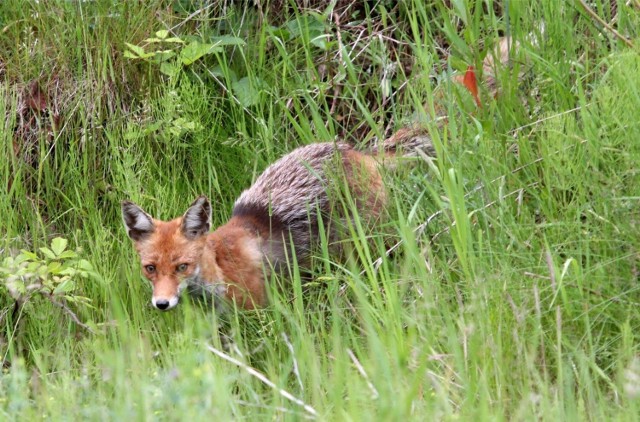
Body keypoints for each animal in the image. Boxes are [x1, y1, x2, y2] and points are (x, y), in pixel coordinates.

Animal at [122, 130, 432, 312]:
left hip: (366, 241)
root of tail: (356, 152)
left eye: (182, 267)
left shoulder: (257, 309)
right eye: (150, 269)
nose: (162, 303)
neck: (220, 268)